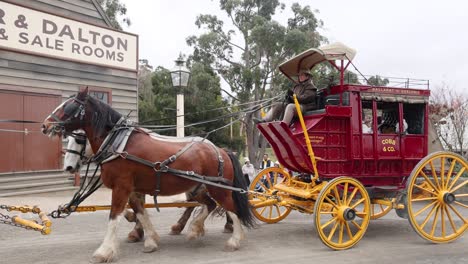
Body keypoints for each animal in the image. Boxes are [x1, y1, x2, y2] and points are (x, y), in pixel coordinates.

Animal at [42, 88, 254, 262]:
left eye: (68, 106)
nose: (45, 125)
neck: (118, 144)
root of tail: (221, 150)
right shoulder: (132, 189)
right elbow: (140, 212)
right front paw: (150, 240)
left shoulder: (121, 187)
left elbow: (114, 216)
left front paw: (105, 251)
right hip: (199, 188)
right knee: (210, 205)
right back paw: (194, 229)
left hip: (218, 188)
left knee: (231, 208)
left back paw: (234, 239)